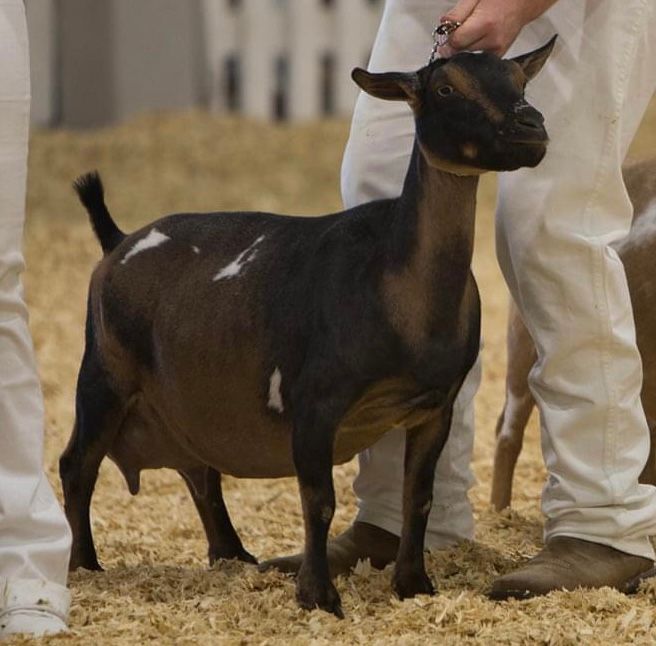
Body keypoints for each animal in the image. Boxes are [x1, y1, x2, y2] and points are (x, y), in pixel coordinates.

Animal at [60, 39, 555, 617]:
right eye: (446, 87)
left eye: (519, 81)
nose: (531, 125)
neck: (393, 275)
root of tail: (117, 241)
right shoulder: (314, 404)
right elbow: (319, 501)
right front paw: (318, 595)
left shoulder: (436, 407)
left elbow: (419, 496)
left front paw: (413, 583)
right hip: (104, 374)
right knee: (77, 465)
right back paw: (84, 565)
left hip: (176, 399)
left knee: (199, 469)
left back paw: (233, 555)